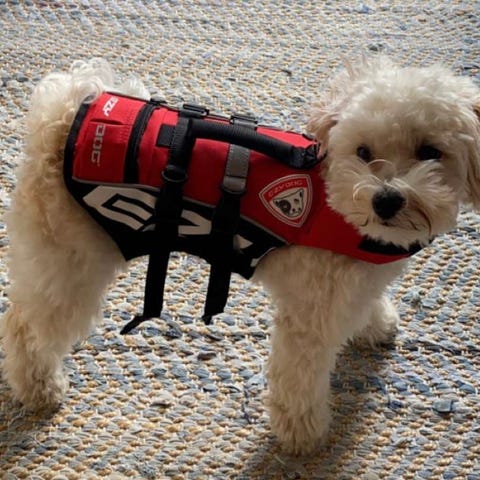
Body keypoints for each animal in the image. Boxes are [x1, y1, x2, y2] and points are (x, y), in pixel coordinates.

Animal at [1, 57, 479, 455]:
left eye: (430, 151)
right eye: (363, 152)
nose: (386, 200)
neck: (337, 203)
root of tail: (62, 111)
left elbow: (368, 305)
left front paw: (375, 325)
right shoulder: (309, 320)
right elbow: (298, 383)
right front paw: (302, 436)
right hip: (71, 265)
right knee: (23, 325)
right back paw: (39, 387)